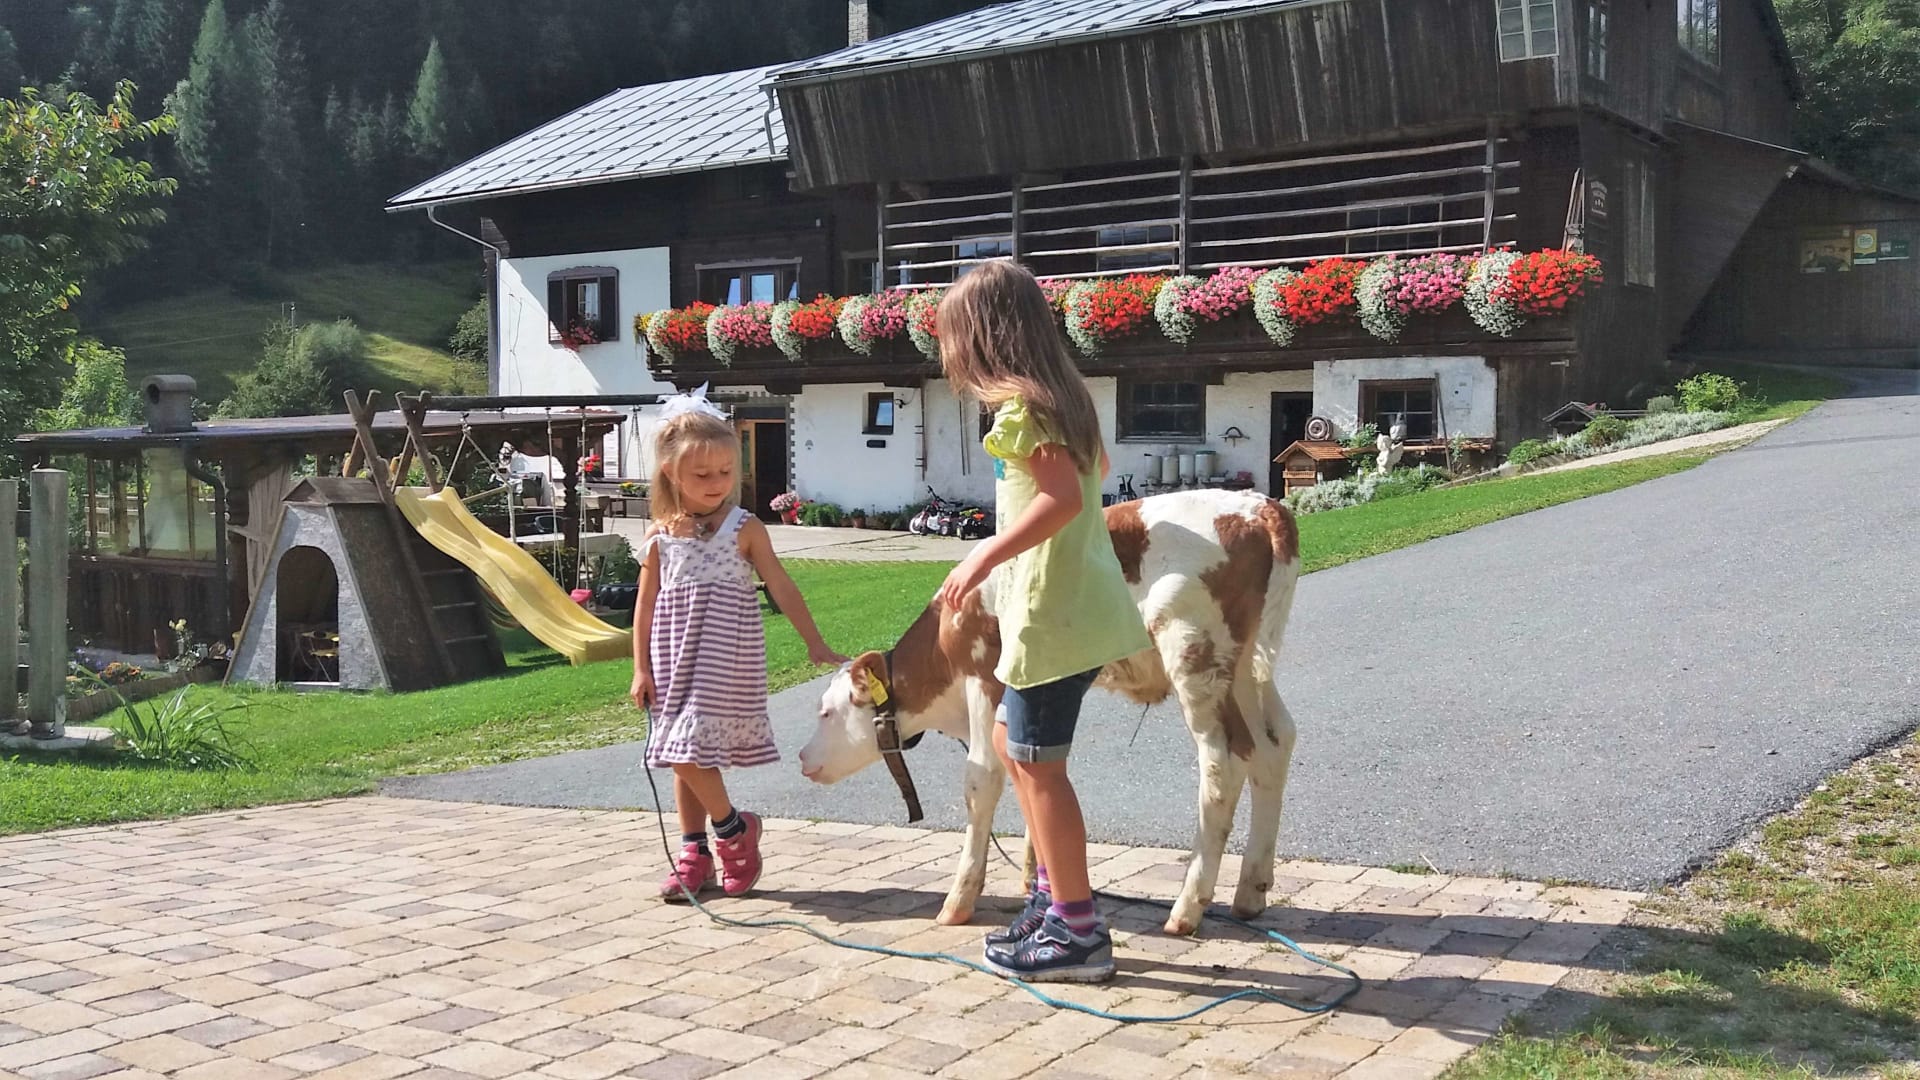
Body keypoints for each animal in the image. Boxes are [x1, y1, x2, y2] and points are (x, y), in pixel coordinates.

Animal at [797, 489, 1300, 936]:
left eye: (825, 712)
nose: (801, 757)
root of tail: (1259, 506)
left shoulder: (985, 679)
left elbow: (982, 778)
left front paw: (960, 899)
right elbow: (1030, 765)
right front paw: (1034, 878)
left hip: (1194, 654)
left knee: (1222, 764)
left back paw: (1188, 908)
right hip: (1244, 669)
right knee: (1273, 745)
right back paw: (1250, 892)